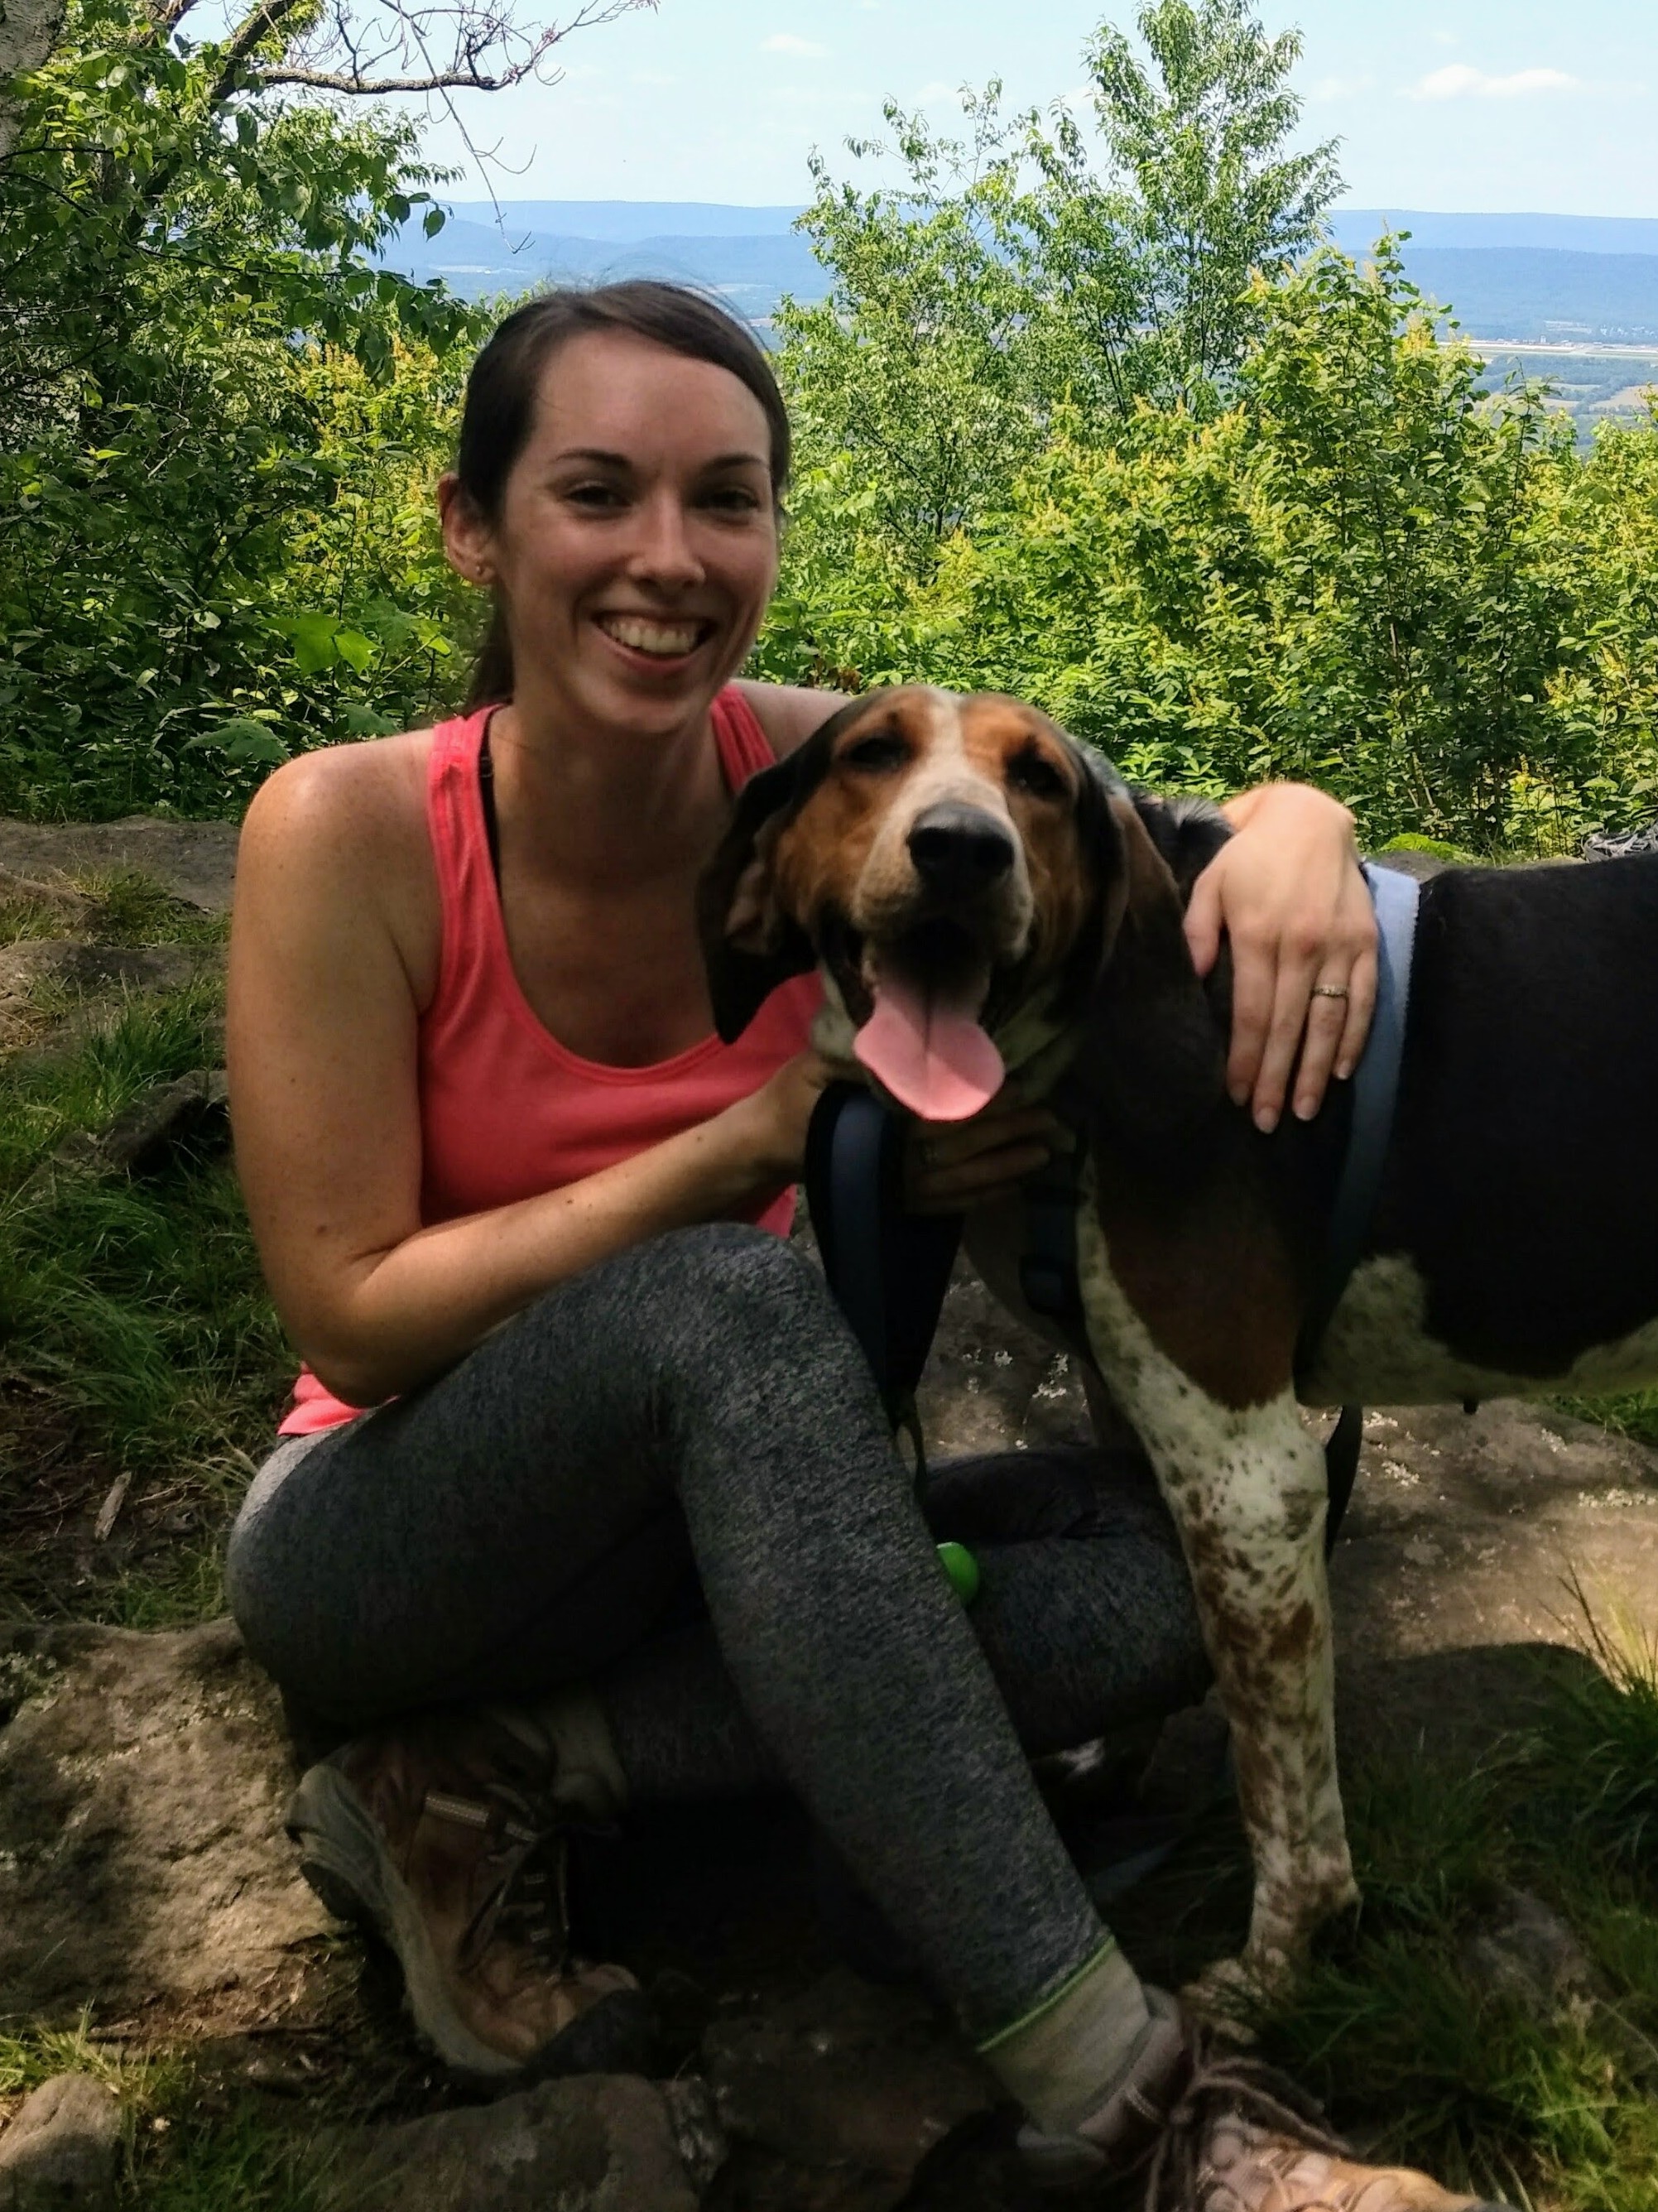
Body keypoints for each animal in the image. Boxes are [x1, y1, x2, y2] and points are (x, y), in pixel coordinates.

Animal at [694, 680, 1658, 1999]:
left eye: (1039, 780)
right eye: (870, 753)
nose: (961, 851)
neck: (1075, 1043)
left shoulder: (1248, 1473)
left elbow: (1276, 1777)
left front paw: (1276, 1974)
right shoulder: (1132, 1400)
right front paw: (1111, 1777)